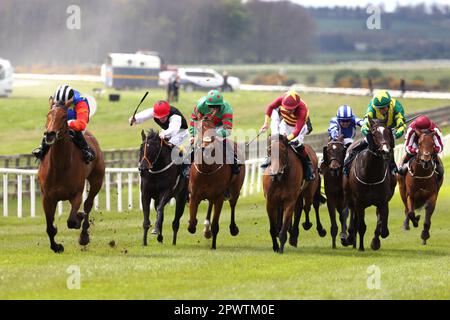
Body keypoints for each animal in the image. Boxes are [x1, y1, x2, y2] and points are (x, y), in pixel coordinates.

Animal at [38, 97, 105, 252]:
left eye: (63, 117)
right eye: (48, 115)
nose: (49, 134)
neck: (59, 166)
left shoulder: (76, 194)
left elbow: (72, 220)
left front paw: (79, 217)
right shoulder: (47, 197)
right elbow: (50, 227)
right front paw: (56, 246)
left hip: (97, 180)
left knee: (88, 204)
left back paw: (84, 236)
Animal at [187, 117, 246, 250]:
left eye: (213, 131)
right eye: (199, 129)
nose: (206, 148)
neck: (206, 169)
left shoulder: (219, 197)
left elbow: (215, 225)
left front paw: (213, 246)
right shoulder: (194, 195)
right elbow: (192, 225)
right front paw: (197, 224)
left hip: (235, 191)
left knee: (232, 205)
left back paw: (233, 228)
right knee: (210, 205)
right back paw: (206, 229)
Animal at [342, 117, 396, 250]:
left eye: (388, 132)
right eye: (374, 133)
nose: (385, 151)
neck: (371, 174)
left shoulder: (383, 200)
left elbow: (383, 227)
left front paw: (375, 242)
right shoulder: (359, 201)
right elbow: (361, 225)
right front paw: (360, 247)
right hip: (349, 195)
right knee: (350, 212)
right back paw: (349, 237)